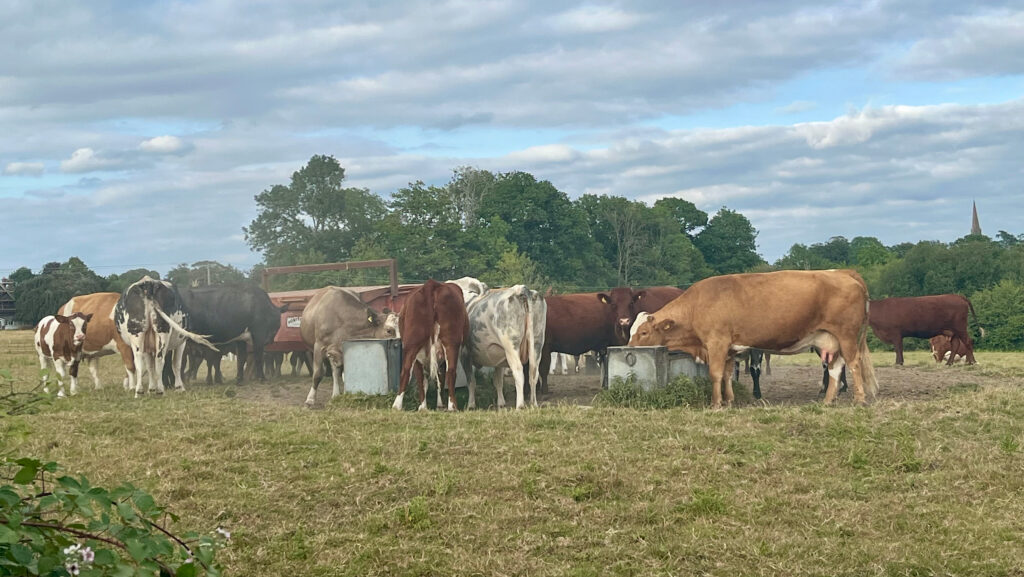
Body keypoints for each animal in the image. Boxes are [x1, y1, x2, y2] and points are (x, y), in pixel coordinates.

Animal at [392, 280, 469, 411]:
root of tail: (432, 284)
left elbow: (425, 379)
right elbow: (439, 378)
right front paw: (439, 405)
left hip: (412, 341)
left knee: (407, 371)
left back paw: (400, 406)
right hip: (451, 341)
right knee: (450, 371)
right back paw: (452, 406)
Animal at [629, 270, 878, 408]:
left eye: (644, 332)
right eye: (631, 331)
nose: (628, 346)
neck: (698, 304)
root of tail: (844, 274)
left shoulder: (717, 343)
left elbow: (715, 374)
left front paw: (716, 403)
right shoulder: (729, 348)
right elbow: (728, 374)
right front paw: (729, 400)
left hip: (846, 336)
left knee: (853, 365)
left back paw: (859, 399)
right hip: (830, 340)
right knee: (836, 369)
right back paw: (828, 400)